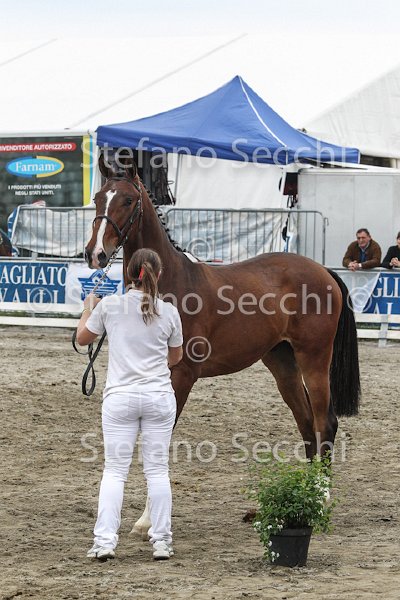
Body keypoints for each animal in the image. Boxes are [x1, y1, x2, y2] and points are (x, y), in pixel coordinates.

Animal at [84, 155, 360, 537]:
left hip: (315, 359)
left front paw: (147, 519)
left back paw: (320, 498)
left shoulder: (182, 375)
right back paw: (305, 495)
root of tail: (323, 271)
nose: (95, 254)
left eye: (127, 200)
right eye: (98, 198)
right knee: (306, 423)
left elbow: (161, 440)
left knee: (325, 421)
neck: (168, 282)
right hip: (283, 364)